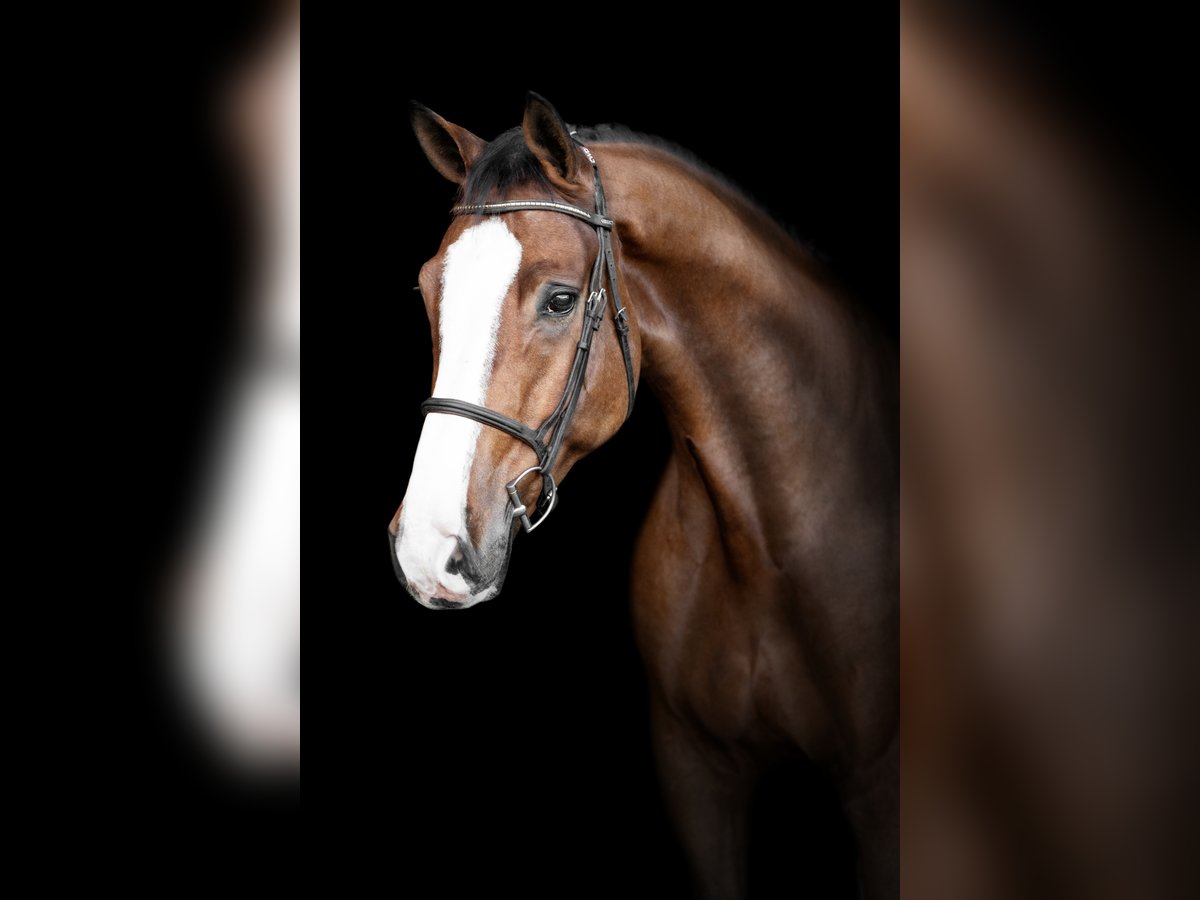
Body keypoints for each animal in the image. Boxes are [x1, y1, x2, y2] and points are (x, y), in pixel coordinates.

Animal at [389, 93, 897, 899]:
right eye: (427, 288)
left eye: (561, 299)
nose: (426, 549)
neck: (766, 533)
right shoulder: (695, 774)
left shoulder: (879, 792)